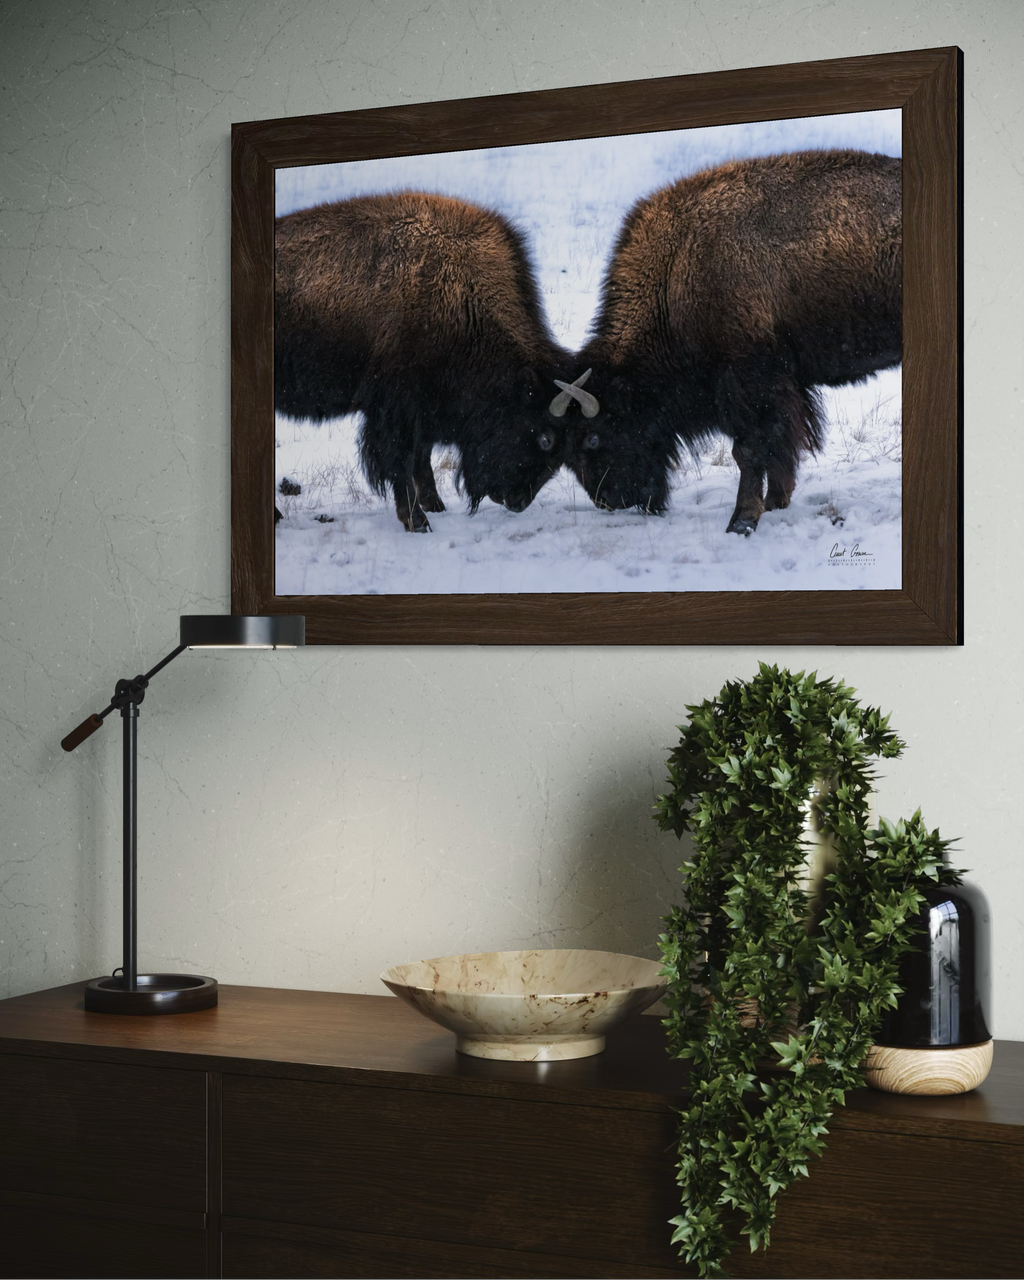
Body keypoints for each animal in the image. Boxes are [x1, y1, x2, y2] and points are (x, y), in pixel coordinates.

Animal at [275, 192, 572, 531]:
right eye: (546, 438)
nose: (518, 502)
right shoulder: (397, 406)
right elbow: (401, 458)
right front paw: (418, 521)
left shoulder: (423, 407)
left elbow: (421, 456)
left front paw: (435, 505)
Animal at [557, 150, 902, 534]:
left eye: (593, 437)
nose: (609, 501)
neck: (676, 271)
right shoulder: (785, 387)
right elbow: (781, 445)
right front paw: (776, 501)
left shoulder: (748, 382)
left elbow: (750, 450)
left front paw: (742, 520)